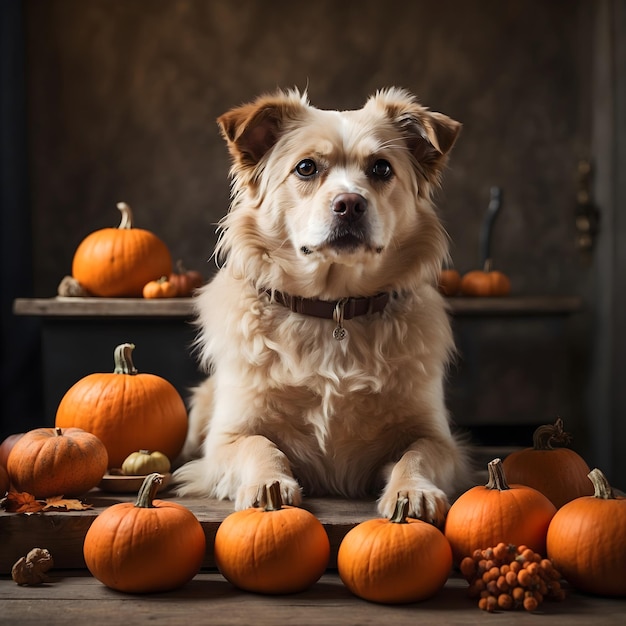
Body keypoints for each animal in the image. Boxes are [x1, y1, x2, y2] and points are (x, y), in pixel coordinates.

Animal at [174, 85, 468, 520]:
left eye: (381, 169)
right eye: (306, 168)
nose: (349, 204)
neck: (333, 309)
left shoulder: (439, 439)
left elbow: (416, 455)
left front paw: (412, 490)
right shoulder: (225, 441)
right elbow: (259, 446)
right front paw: (268, 484)